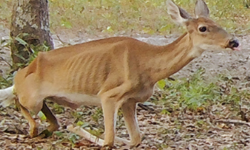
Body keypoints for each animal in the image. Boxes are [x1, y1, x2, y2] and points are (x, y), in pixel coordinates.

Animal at [0, 0, 239, 148]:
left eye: (218, 23)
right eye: (203, 28)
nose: (233, 41)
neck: (149, 67)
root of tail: (25, 71)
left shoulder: (130, 100)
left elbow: (135, 138)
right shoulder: (109, 94)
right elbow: (109, 139)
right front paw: (76, 127)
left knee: (47, 117)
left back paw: (44, 128)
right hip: (31, 97)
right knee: (18, 99)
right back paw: (35, 128)